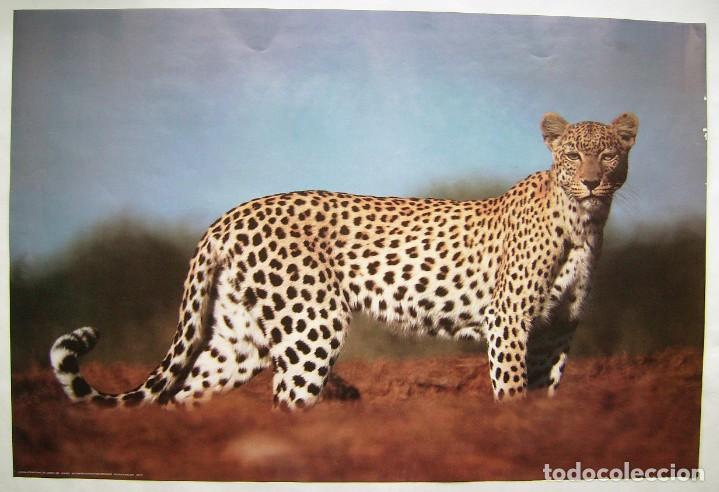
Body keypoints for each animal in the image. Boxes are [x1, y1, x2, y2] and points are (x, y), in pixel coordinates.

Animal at [50, 111, 639, 410]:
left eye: (609, 154)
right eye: (572, 155)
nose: (592, 181)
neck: (584, 222)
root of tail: (230, 215)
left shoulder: (557, 329)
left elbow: (547, 393)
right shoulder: (510, 323)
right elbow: (512, 390)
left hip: (240, 336)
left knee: (186, 395)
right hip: (313, 324)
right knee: (286, 398)